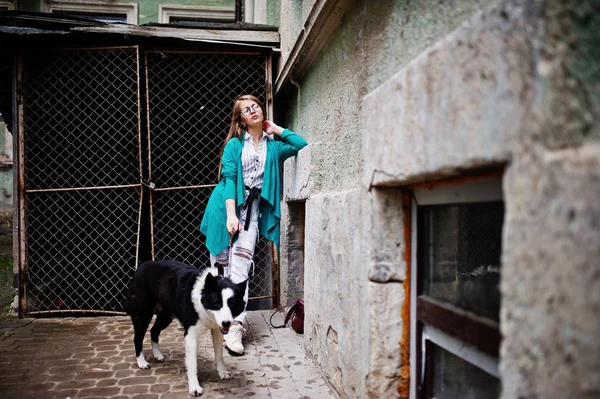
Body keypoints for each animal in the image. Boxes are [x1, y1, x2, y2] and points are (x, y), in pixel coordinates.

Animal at [125, 260, 247, 396]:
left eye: (232, 304)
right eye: (216, 303)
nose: (226, 323)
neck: (203, 292)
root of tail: (141, 266)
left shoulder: (217, 330)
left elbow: (219, 354)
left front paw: (222, 372)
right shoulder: (191, 336)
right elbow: (192, 363)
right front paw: (194, 387)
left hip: (166, 316)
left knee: (154, 331)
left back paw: (157, 354)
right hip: (143, 314)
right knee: (137, 338)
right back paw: (141, 362)